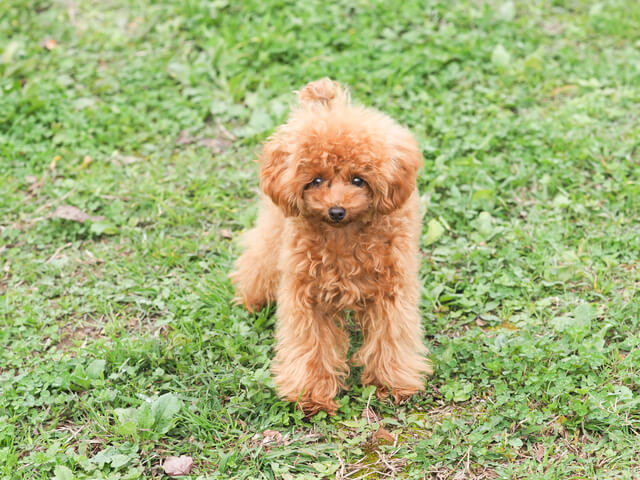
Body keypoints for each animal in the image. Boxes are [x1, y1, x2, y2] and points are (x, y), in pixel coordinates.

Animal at [228, 79, 432, 416]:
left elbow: (391, 335)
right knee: (260, 256)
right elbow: (310, 343)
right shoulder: (307, 296)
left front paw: (390, 384)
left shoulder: (391, 291)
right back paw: (253, 298)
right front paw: (310, 395)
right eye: (315, 180)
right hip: (276, 228)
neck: (343, 236)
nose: (337, 210)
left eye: (358, 180)